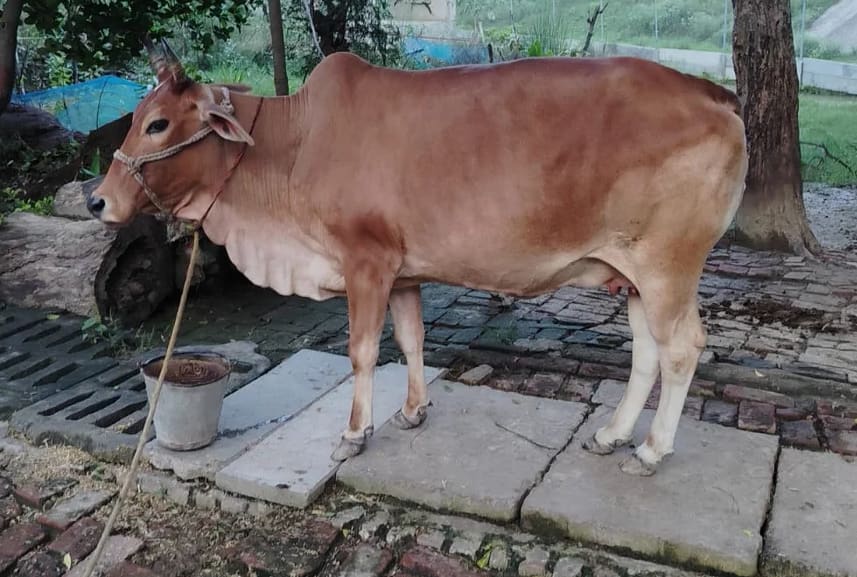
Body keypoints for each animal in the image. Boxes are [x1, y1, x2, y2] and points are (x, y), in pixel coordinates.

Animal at [88, 41, 747, 476]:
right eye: (136, 117)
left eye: (158, 123)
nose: (98, 201)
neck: (289, 148)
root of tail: (714, 92)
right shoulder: (402, 273)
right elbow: (410, 340)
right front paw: (411, 412)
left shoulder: (365, 263)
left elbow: (361, 351)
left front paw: (354, 434)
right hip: (631, 275)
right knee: (646, 354)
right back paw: (611, 435)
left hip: (667, 268)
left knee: (681, 349)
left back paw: (651, 450)